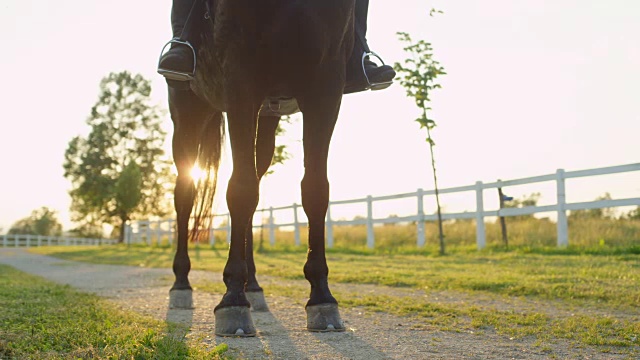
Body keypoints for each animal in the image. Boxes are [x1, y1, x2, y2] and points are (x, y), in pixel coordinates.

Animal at [168, 0, 352, 338]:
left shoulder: (326, 84)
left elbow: (315, 190)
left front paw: (322, 297)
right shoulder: (240, 77)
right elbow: (240, 190)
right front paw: (232, 301)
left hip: (266, 118)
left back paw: (252, 286)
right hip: (187, 113)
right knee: (185, 194)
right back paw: (182, 285)